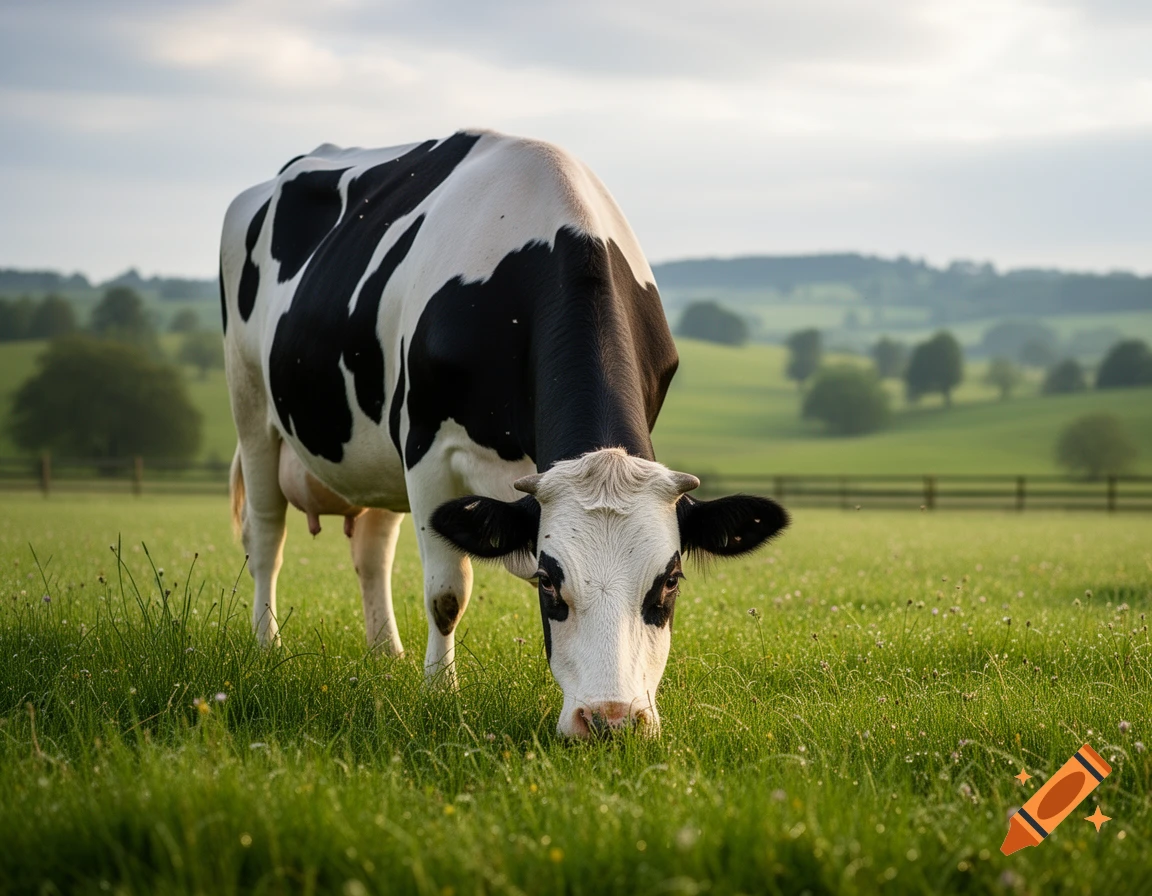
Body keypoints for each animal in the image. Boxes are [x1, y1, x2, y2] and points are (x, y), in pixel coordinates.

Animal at [220, 130, 788, 738]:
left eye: (671, 581)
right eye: (548, 581)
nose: (610, 721)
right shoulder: (426, 448)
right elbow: (446, 592)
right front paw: (439, 693)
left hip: (373, 451)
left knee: (371, 550)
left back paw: (385, 654)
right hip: (250, 405)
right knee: (266, 536)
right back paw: (268, 645)